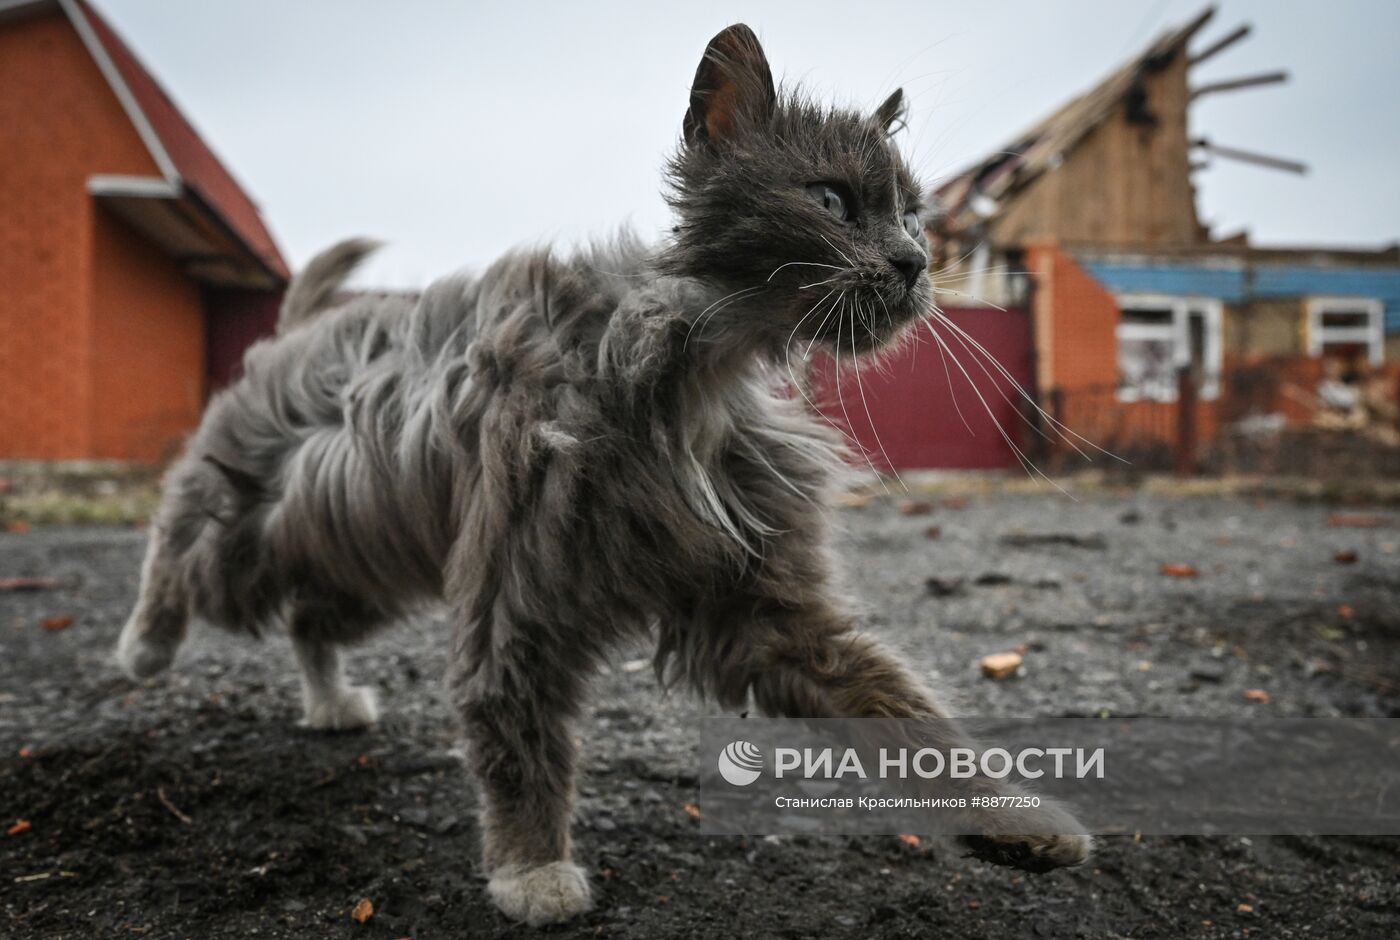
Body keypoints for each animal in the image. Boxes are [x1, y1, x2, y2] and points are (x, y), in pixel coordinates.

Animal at [114, 22, 1086, 924]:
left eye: (912, 214)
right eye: (832, 199)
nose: (915, 263)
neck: (698, 374)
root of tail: (305, 327)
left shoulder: (765, 609)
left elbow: (901, 707)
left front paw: (1015, 816)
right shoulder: (518, 591)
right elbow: (515, 726)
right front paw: (531, 866)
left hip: (368, 562)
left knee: (310, 619)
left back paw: (329, 700)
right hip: (248, 534)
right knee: (178, 536)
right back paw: (144, 644)